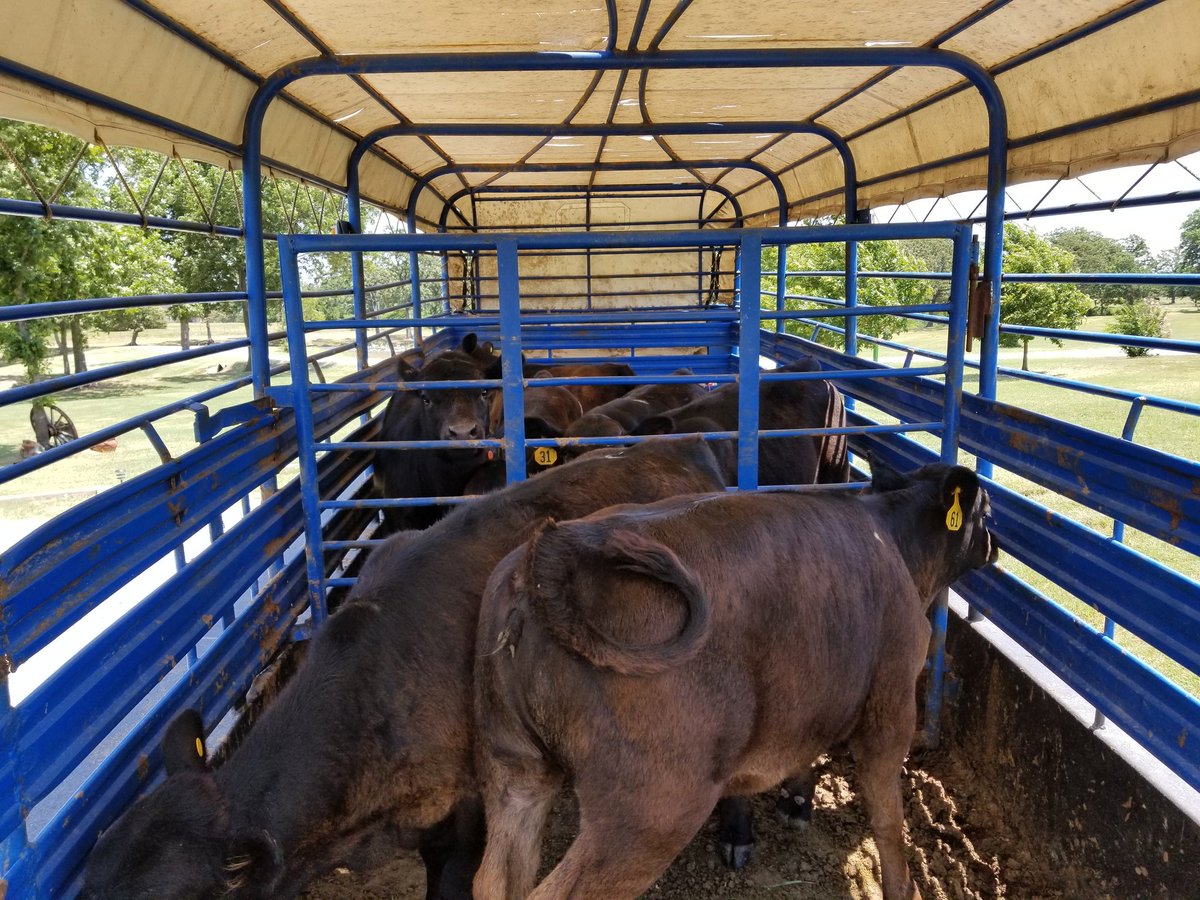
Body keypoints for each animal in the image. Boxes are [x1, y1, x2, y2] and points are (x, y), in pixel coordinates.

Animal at [472, 459, 998, 900]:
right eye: (987, 510)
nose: (995, 547)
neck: (893, 539)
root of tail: (552, 553)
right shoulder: (891, 705)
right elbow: (889, 819)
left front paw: (787, 806)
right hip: (650, 810)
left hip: (516, 770)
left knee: (493, 880)